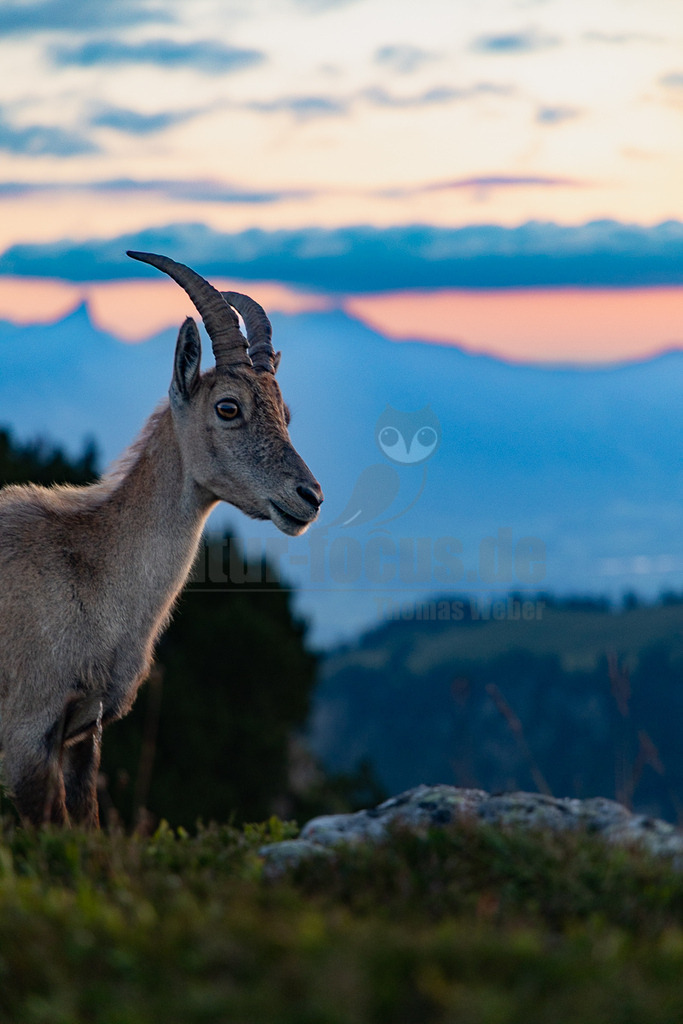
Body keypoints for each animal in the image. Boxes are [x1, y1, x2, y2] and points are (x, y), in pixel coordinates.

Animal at [0, 251, 323, 827]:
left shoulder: (82, 735)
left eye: (285, 414)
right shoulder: (26, 729)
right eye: (227, 407)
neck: (89, 573)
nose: (310, 495)